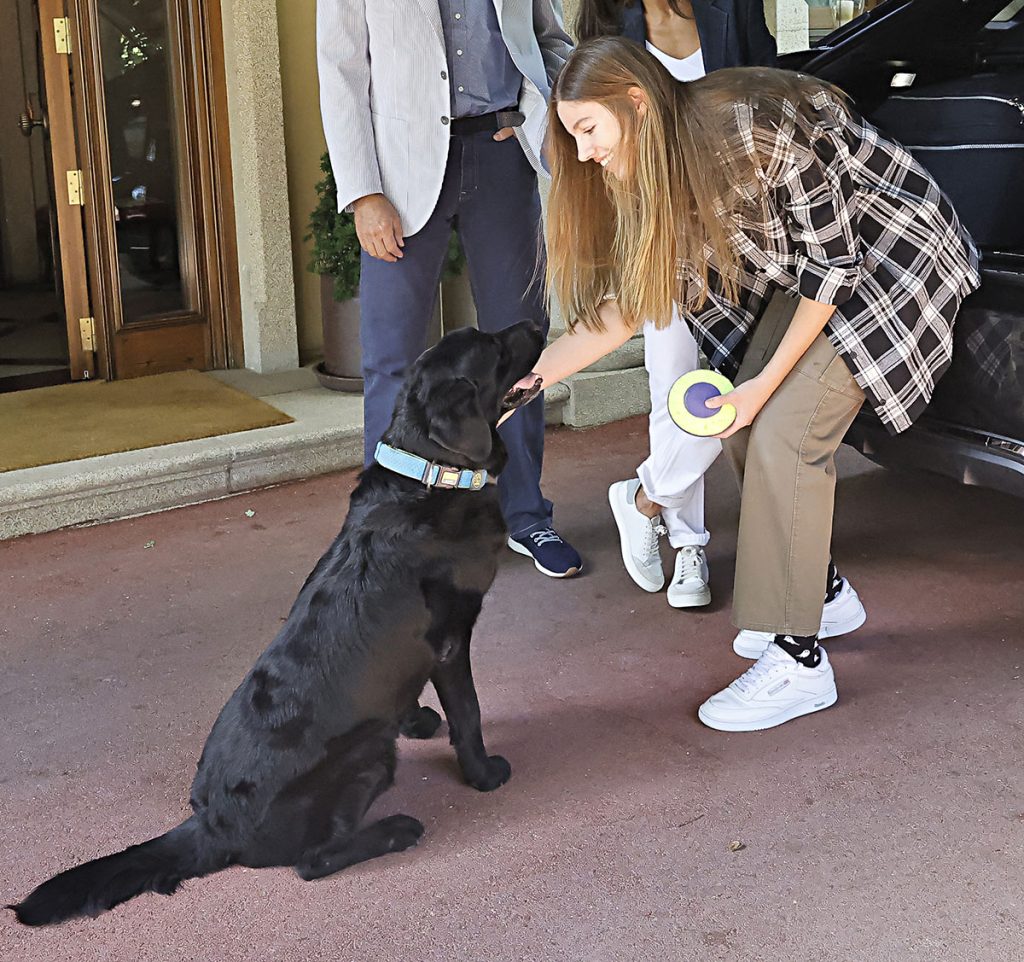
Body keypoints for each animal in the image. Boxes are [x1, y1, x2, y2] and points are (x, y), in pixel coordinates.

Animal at [14, 321, 544, 926]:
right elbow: (470, 715)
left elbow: (409, 691)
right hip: (367, 756)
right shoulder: (452, 642)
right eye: (496, 349)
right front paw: (483, 775)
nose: (537, 323)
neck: (432, 475)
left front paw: (414, 720)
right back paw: (394, 830)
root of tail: (211, 824)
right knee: (313, 862)